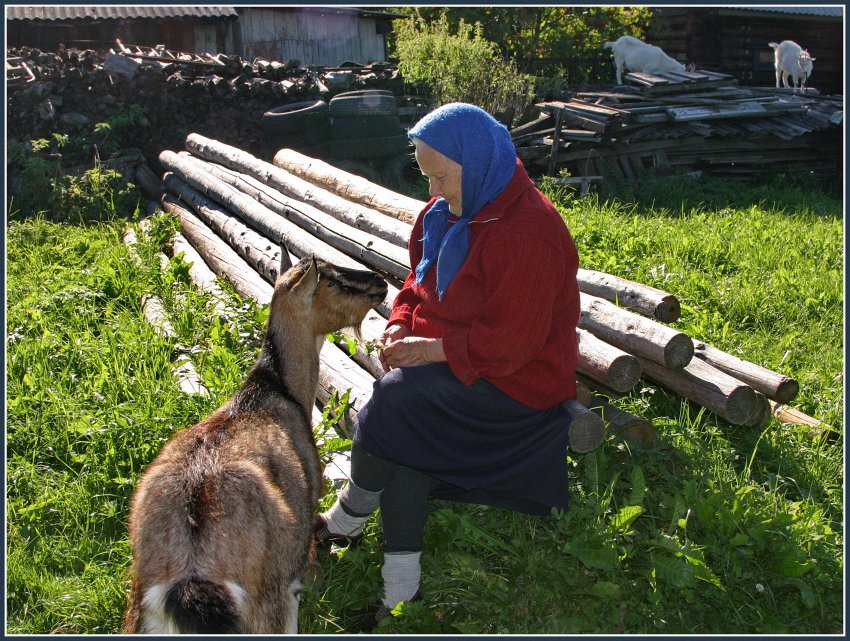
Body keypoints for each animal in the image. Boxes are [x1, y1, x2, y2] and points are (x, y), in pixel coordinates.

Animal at [122, 256, 388, 636]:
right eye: (333, 280)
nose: (381, 282)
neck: (275, 387)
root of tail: (190, 580)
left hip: (137, 612)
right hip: (272, 605)